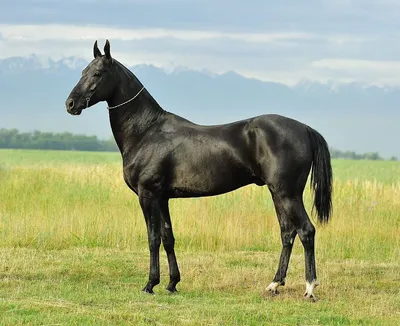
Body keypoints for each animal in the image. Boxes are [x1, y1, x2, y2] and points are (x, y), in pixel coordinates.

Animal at [65, 40, 332, 300]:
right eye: (83, 72)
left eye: (97, 73)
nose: (70, 104)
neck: (147, 131)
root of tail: (304, 129)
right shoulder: (162, 198)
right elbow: (168, 238)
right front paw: (172, 284)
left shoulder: (147, 194)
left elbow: (153, 239)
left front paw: (150, 284)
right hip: (277, 194)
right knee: (287, 233)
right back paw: (274, 284)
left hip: (288, 194)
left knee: (306, 231)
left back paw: (310, 287)